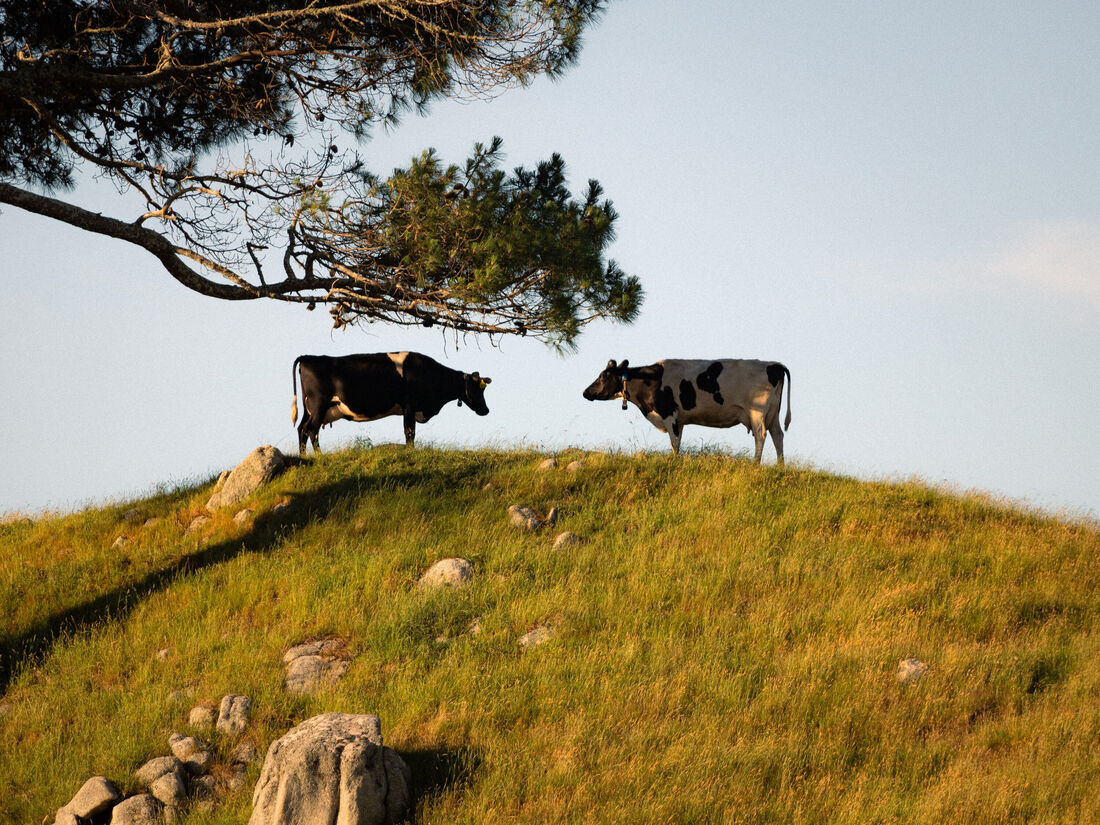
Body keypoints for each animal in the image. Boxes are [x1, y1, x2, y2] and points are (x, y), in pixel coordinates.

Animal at [291, 351, 492, 456]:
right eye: (478, 389)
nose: (486, 410)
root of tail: (309, 357)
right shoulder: (410, 406)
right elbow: (409, 432)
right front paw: (411, 451)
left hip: (310, 408)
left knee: (301, 429)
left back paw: (304, 457)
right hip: (319, 404)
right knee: (311, 429)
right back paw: (319, 456)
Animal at [582, 358, 791, 463]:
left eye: (604, 376)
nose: (585, 392)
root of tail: (775, 365)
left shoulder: (669, 414)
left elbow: (674, 443)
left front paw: (675, 461)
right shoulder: (679, 420)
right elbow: (678, 441)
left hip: (757, 412)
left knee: (761, 435)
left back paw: (755, 463)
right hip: (773, 413)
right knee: (778, 435)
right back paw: (780, 465)